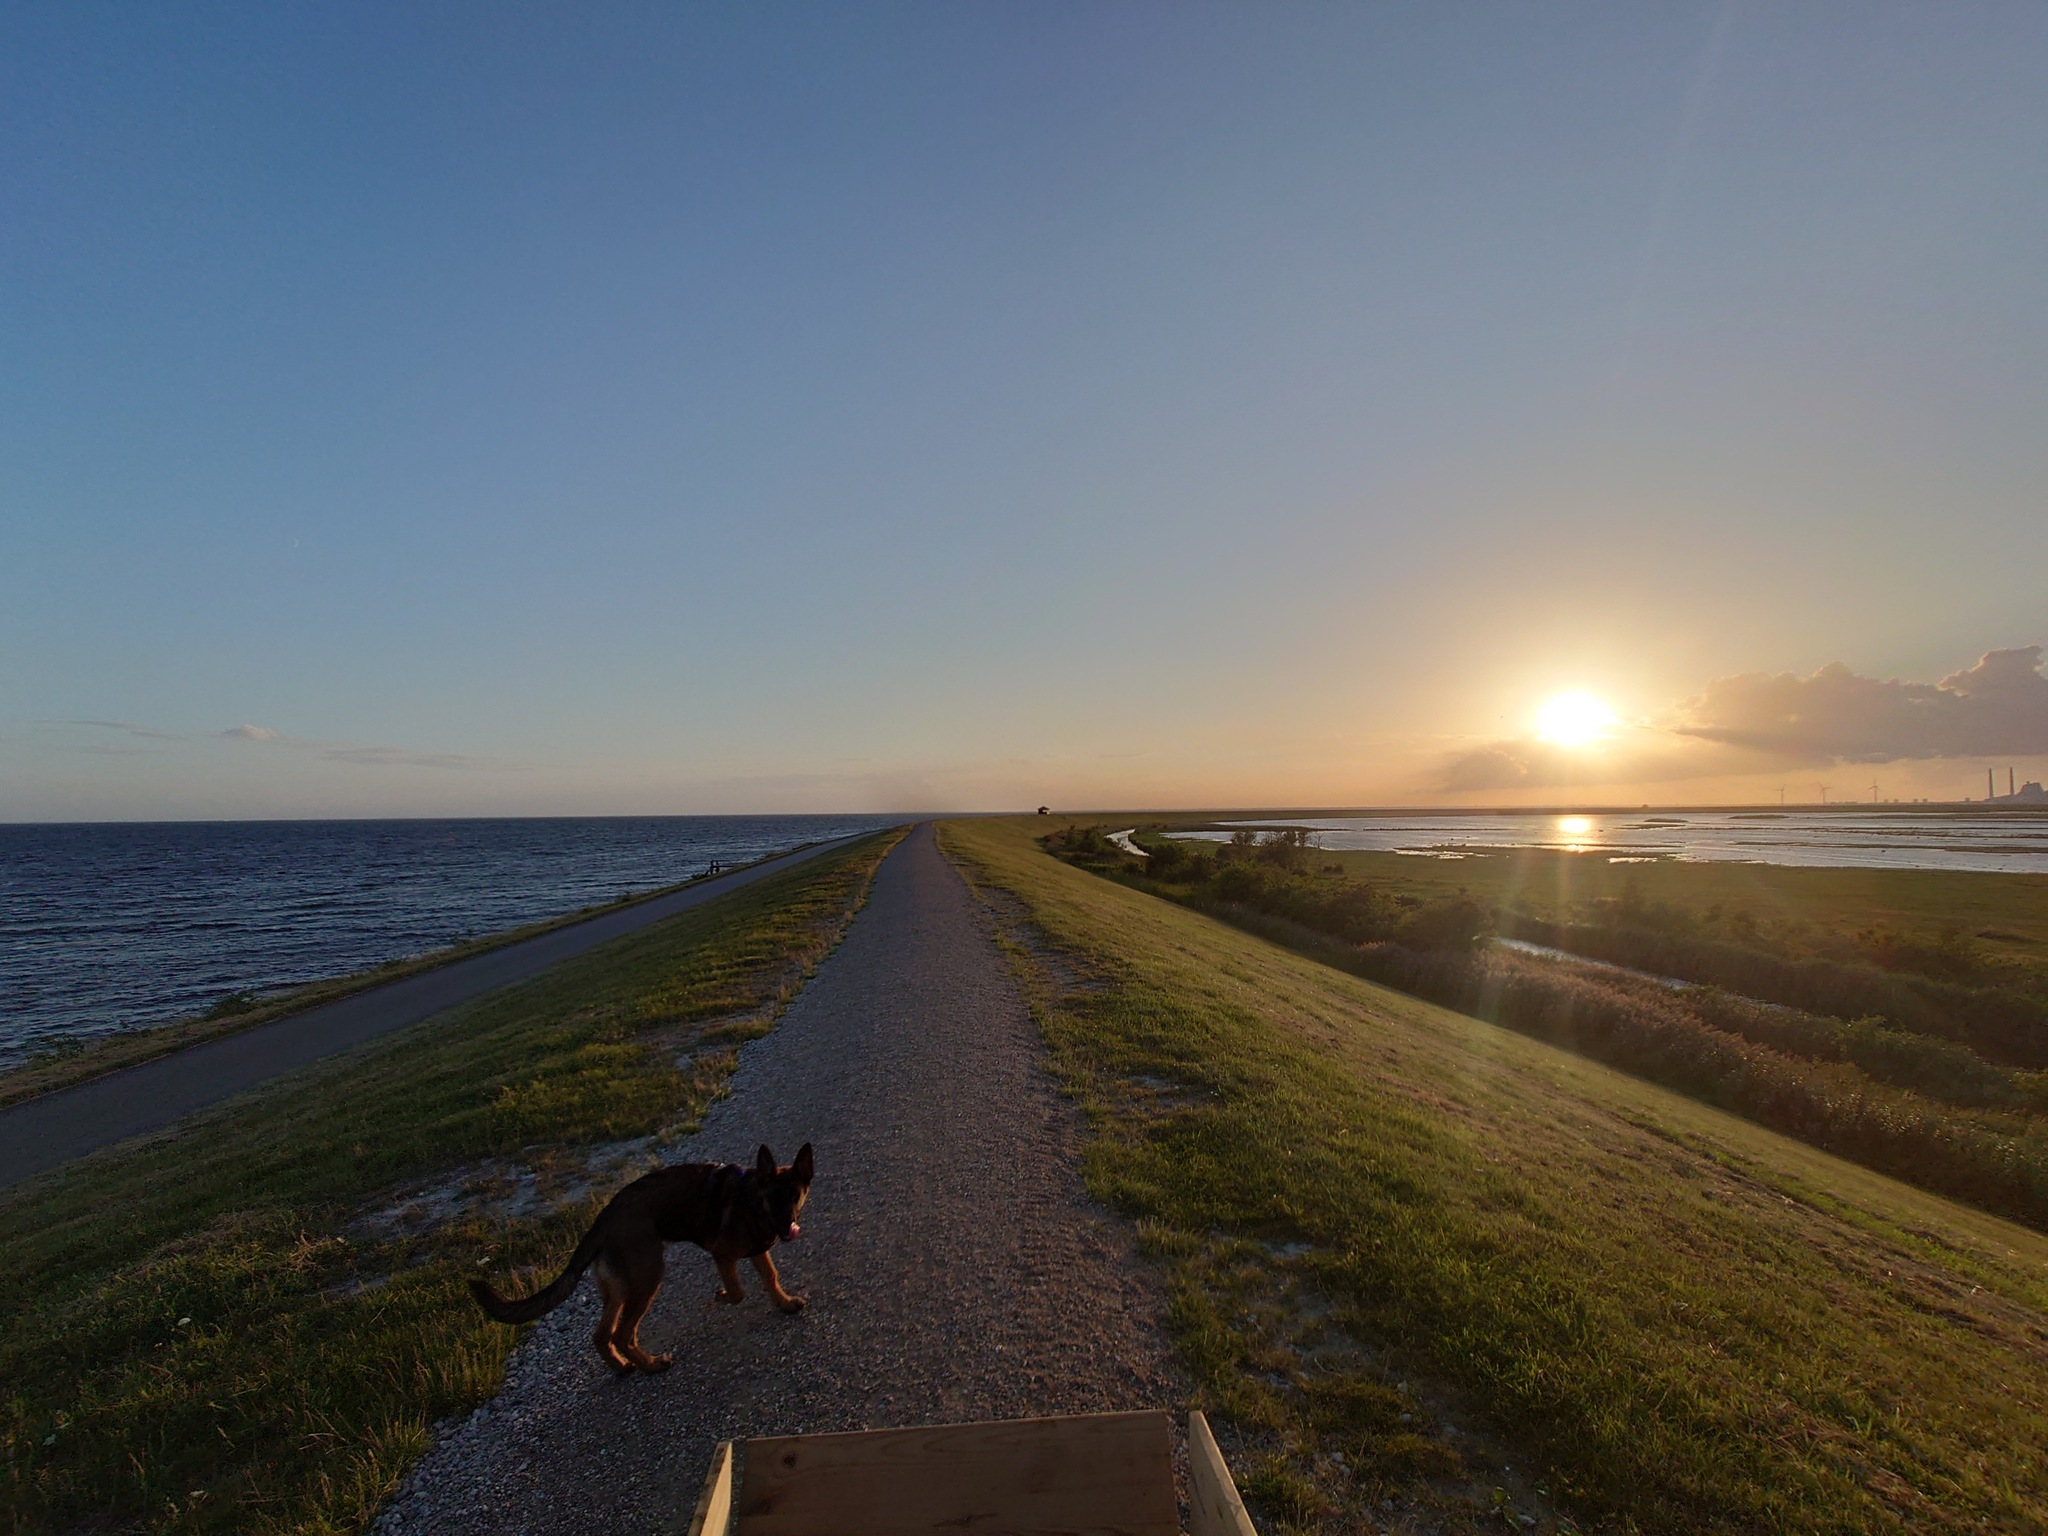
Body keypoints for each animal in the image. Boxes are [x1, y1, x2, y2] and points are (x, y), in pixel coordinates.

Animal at [468, 1146, 811, 1384]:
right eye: (773, 1198)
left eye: (795, 1196)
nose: (788, 1228)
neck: (751, 1199)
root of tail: (602, 1220)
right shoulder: (722, 1254)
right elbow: (738, 1292)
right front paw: (723, 1296)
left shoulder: (758, 1251)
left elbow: (771, 1277)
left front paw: (785, 1303)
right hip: (648, 1276)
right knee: (622, 1334)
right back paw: (652, 1365)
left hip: (622, 1286)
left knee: (602, 1334)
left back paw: (622, 1367)